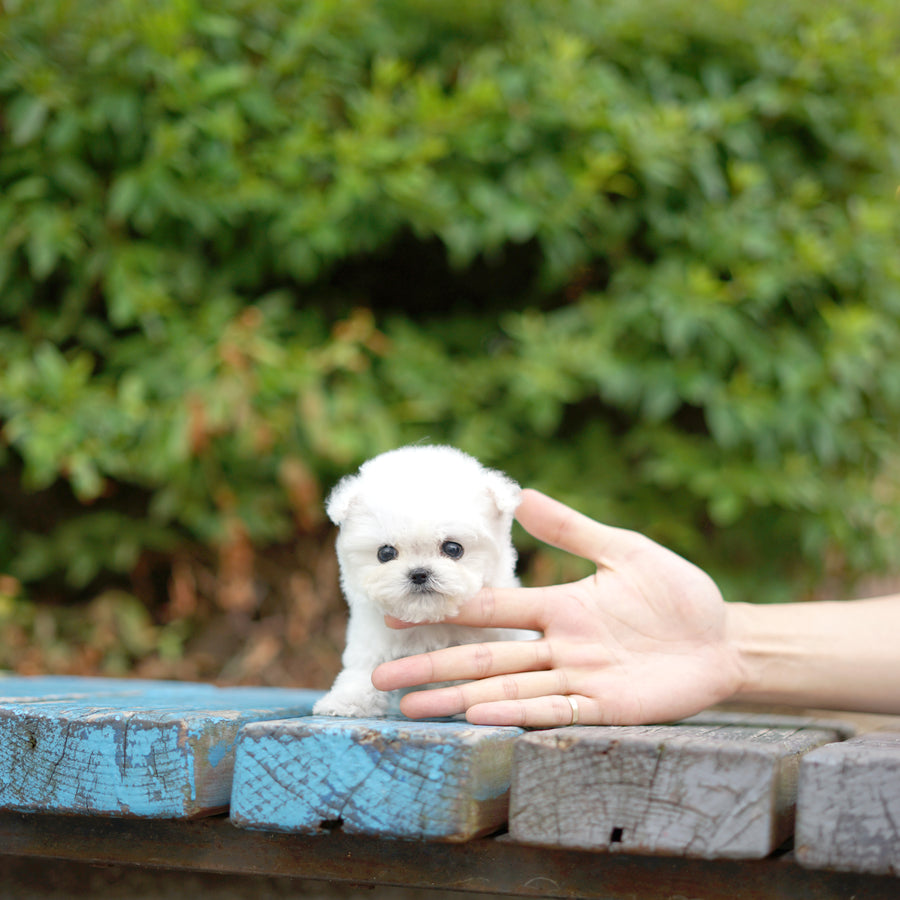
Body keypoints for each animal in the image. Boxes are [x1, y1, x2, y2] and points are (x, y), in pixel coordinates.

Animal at [316, 444, 524, 716]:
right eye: (385, 553)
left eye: (453, 548)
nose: (419, 573)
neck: (428, 622)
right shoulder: (371, 637)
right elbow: (364, 668)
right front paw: (347, 702)